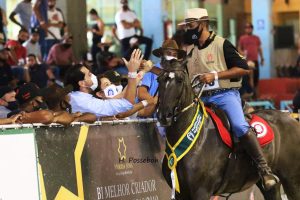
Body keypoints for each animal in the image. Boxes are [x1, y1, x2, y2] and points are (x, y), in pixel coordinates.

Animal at [156, 59, 300, 200]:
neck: (196, 139)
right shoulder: (181, 194)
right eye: (159, 79)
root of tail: (291, 118)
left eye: (180, 80)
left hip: (292, 180)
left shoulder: (201, 192)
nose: (164, 116)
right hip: (270, 186)